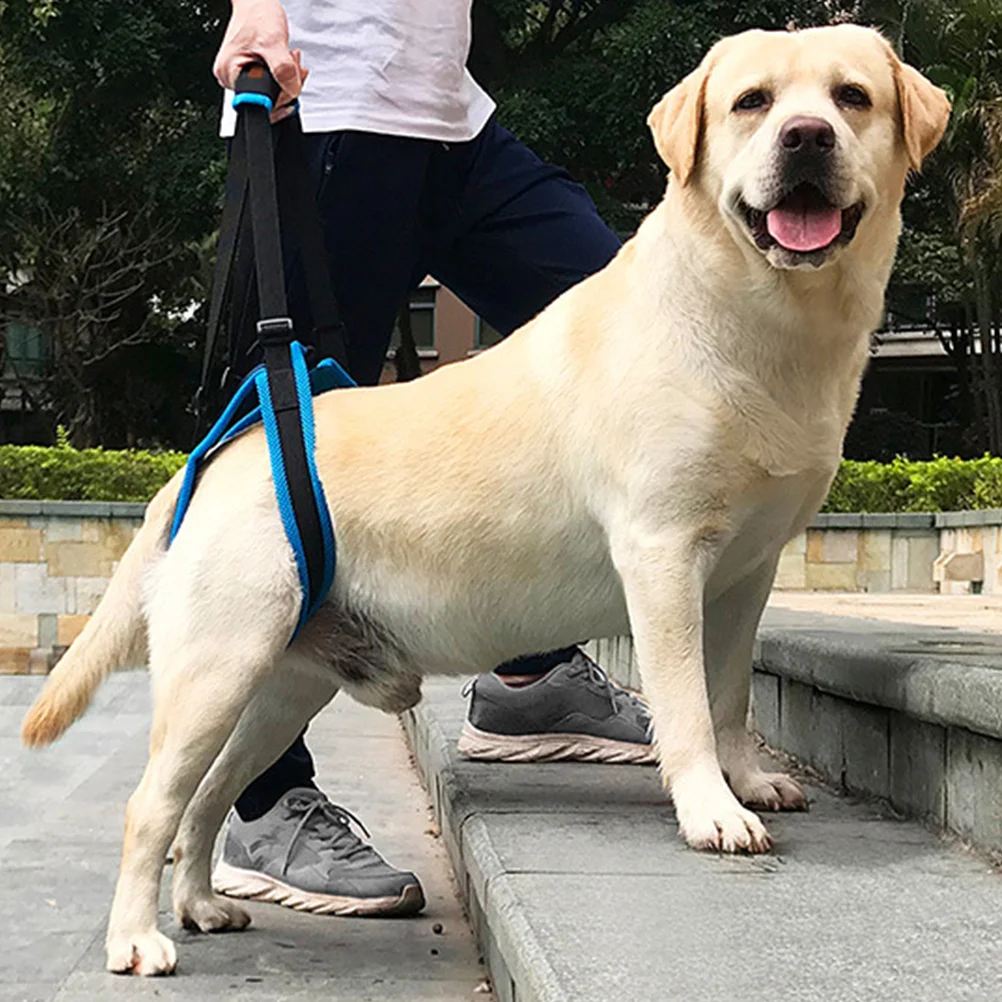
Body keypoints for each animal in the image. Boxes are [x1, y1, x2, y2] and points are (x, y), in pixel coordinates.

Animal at [23, 25, 945, 977]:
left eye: (851, 98)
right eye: (752, 102)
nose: (806, 138)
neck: (756, 321)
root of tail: (225, 451)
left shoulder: (746, 575)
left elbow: (730, 696)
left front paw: (748, 778)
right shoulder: (662, 556)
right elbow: (687, 704)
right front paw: (711, 810)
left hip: (283, 686)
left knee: (206, 799)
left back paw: (202, 903)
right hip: (219, 665)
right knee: (152, 805)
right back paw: (137, 938)